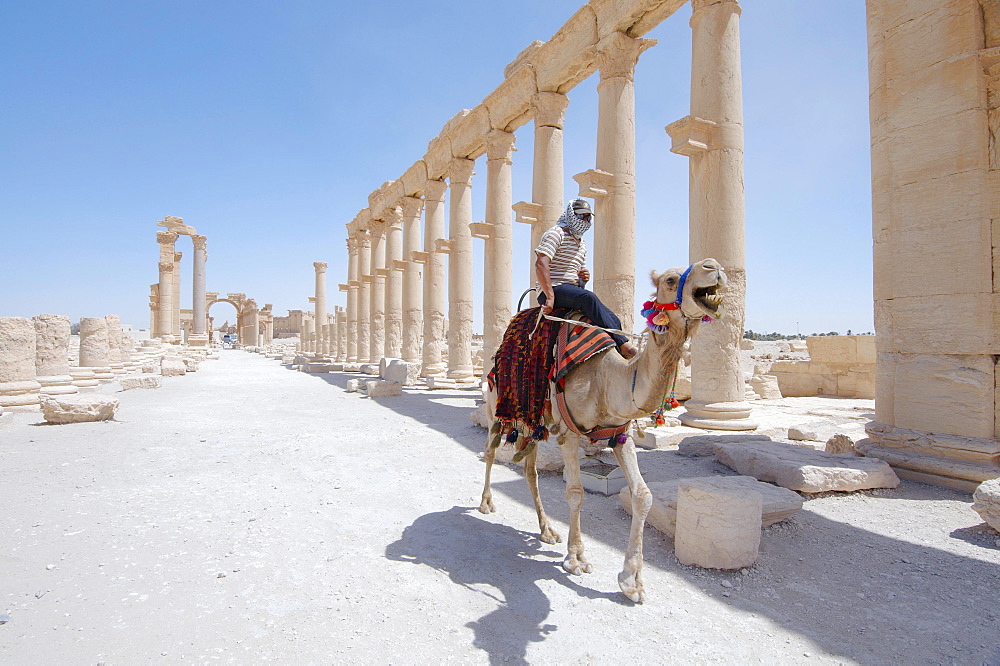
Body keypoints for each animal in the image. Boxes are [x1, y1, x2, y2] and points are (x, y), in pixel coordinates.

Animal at [478, 258, 728, 600]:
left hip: (534, 421)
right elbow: (575, 491)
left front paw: (632, 581)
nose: (713, 266)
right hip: (495, 406)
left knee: (530, 469)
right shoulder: (570, 433)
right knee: (490, 451)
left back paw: (547, 530)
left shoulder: (620, 433)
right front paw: (576, 558)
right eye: (669, 280)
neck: (606, 378)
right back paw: (486, 503)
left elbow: (643, 496)